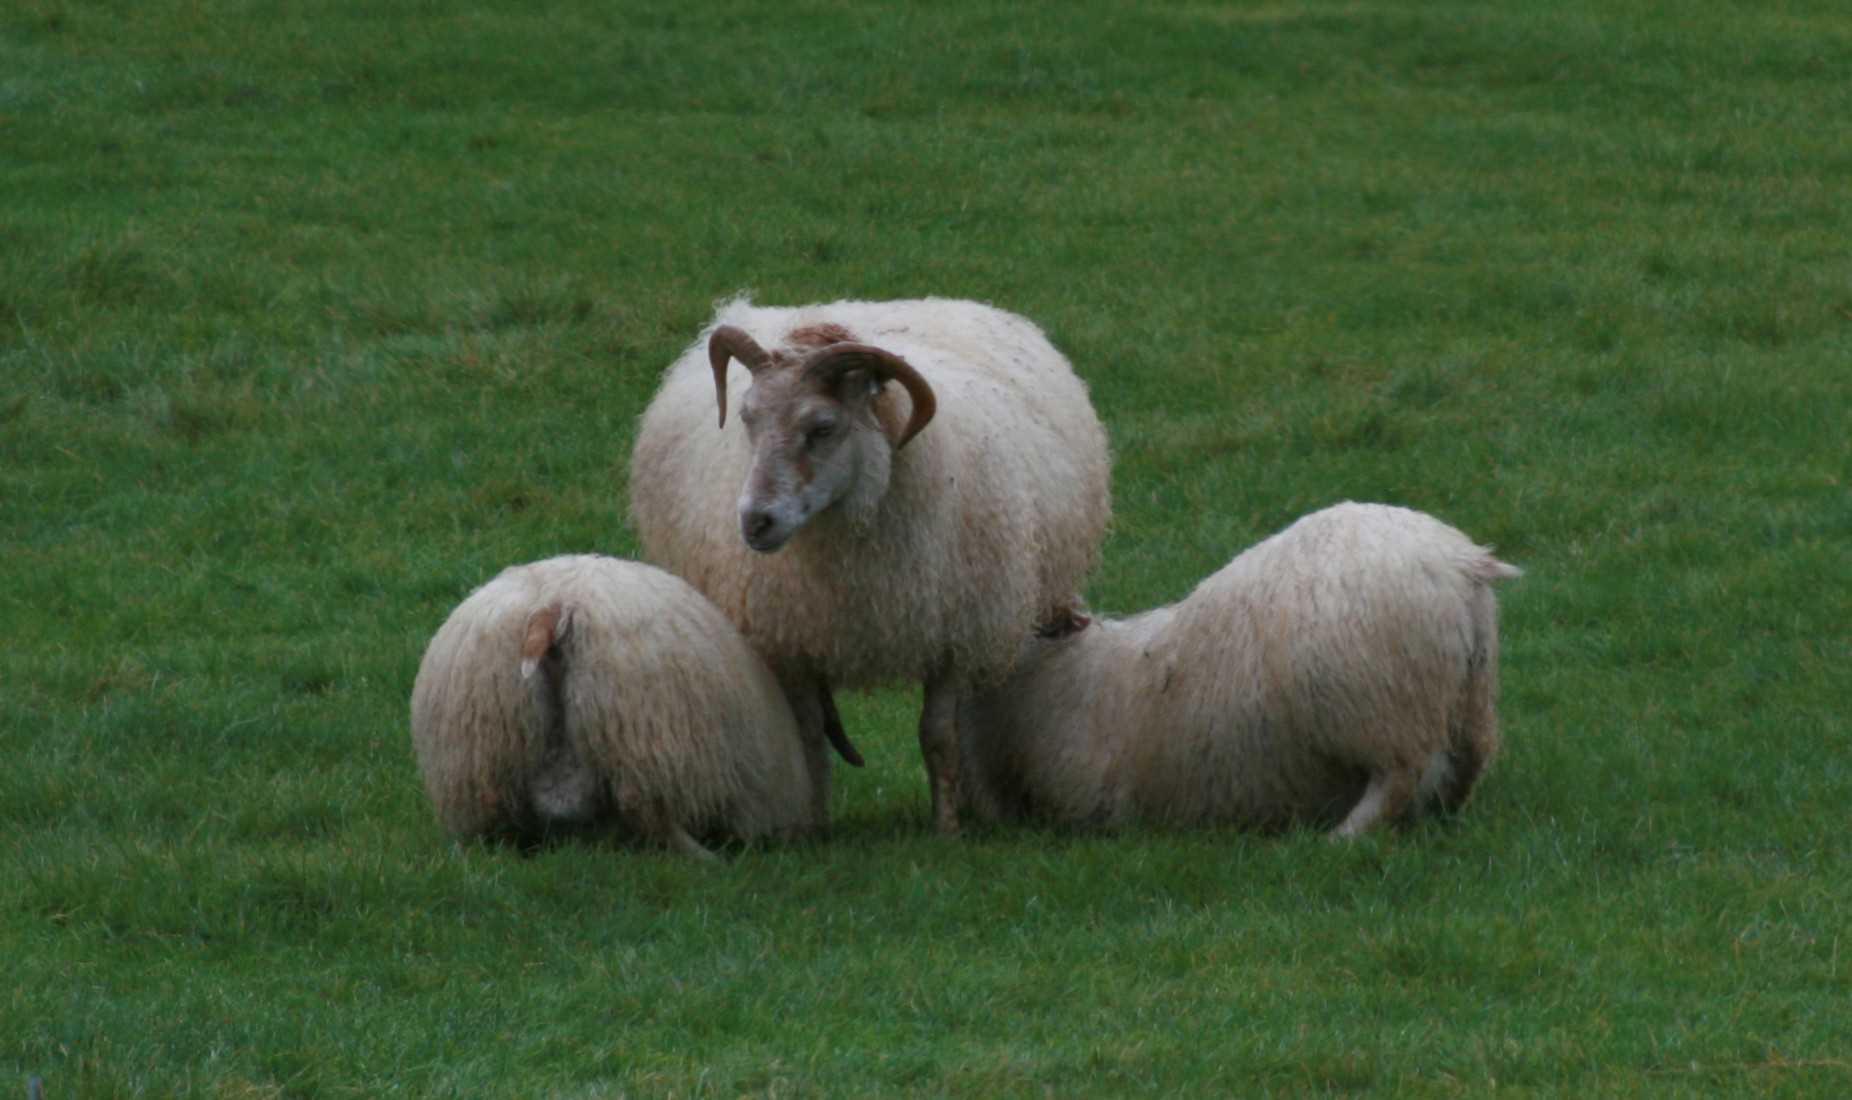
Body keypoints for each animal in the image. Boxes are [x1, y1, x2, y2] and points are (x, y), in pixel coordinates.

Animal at [622, 296, 1111, 825]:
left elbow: (938, 737)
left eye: (822, 427)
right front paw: (814, 825)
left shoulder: (953, 631)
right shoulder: (791, 640)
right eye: (747, 418)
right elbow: (810, 740)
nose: (755, 522)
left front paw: (947, 827)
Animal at [955, 500, 1518, 833]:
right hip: (1470, 701)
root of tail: (1462, 563)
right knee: (1466, 767)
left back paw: (1343, 837)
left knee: (1397, 780)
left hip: (1381, 709)